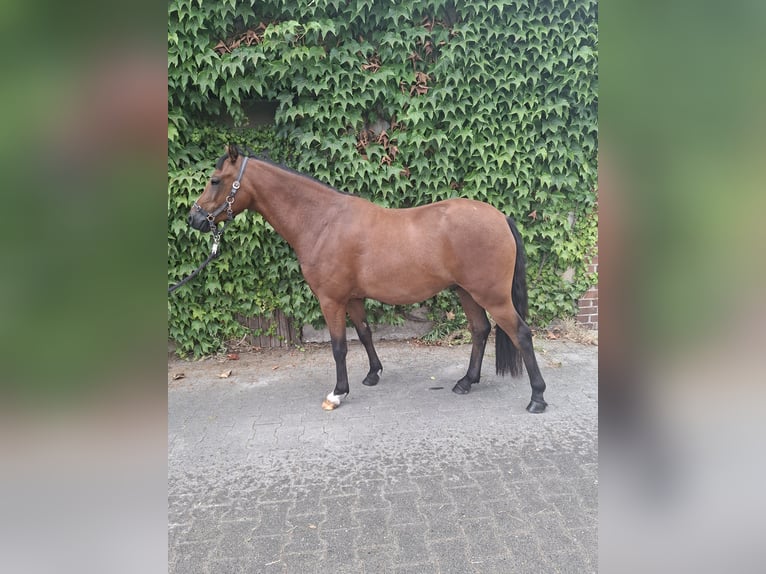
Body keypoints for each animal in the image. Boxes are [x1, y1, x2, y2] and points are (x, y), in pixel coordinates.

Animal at [188, 145, 548, 413]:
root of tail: (500, 217)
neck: (323, 221)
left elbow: (338, 347)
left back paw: (537, 398)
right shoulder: (353, 298)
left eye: (215, 180)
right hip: (466, 292)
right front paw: (373, 374)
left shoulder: (331, 300)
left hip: (491, 295)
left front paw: (337, 393)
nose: (194, 219)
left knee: (521, 333)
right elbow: (364, 333)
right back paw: (465, 382)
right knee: (480, 330)